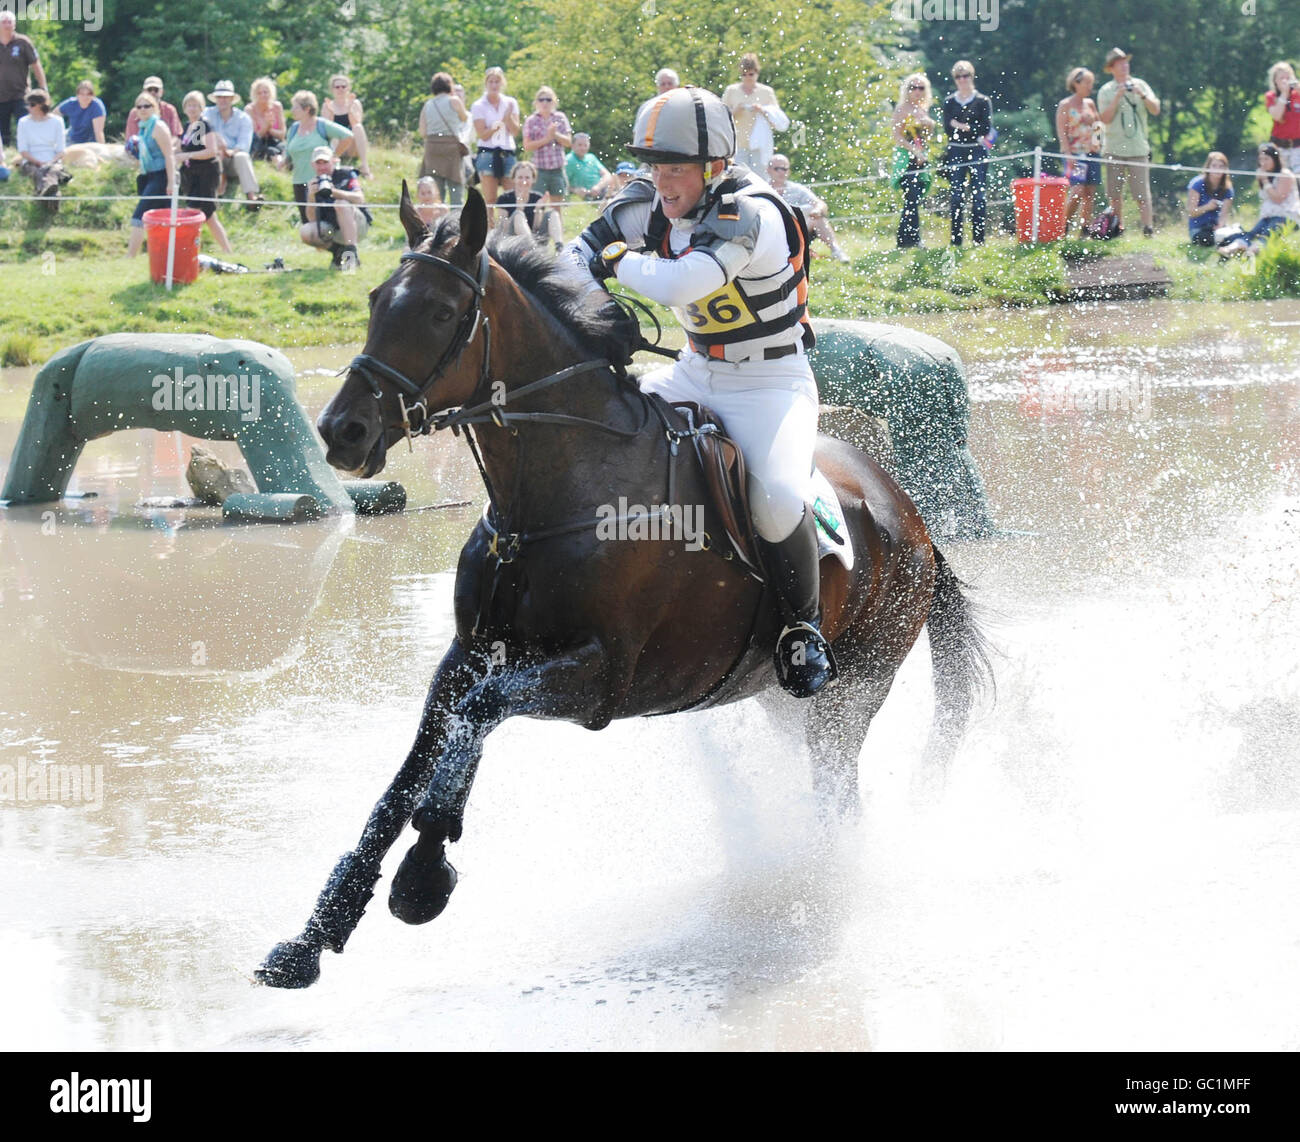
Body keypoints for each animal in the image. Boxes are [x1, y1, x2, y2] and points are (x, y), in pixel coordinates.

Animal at [253, 187, 987, 993]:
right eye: (378, 299)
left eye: (442, 313)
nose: (341, 432)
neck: (550, 495)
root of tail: (912, 517)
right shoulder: (469, 655)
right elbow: (410, 772)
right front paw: (314, 937)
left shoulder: (602, 677)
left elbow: (476, 721)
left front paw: (423, 874)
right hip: (775, 697)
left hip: (851, 693)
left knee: (837, 796)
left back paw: (819, 898)